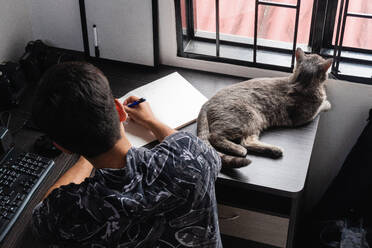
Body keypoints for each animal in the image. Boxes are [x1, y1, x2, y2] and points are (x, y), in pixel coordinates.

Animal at [196, 48, 332, 169]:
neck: (300, 83)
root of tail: (206, 103)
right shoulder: (303, 117)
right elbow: (321, 106)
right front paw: (327, 103)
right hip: (249, 117)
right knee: (216, 136)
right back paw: (241, 150)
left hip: (254, 123)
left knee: (247, 141)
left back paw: (273, 150)